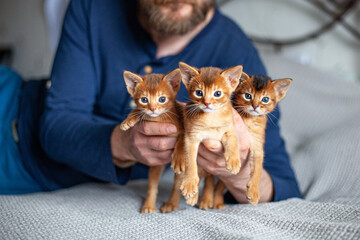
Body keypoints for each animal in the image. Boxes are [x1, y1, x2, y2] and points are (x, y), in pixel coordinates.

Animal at [117, 68, 184, 213]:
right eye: (144, 99)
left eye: (162, 99)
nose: (152, 109)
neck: (158, 118)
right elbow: (139, 111)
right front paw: (128, 120)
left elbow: (183, 140)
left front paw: (179, 156)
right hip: (156, 164)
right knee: (152, 186)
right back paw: (149, 205)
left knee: (178, 184)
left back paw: (171, 204)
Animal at [176, 62, 243, 206]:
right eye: (199, 92)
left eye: (217, 93)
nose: (207, 103)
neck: (211, 117)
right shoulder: (191, 137)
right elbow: (190, 162)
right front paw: (189, 183)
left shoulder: (229, 129)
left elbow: (233, 141)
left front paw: (234, 161)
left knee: (211, 180)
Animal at [231, 73, 292, 204]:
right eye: (248, 96)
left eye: (265, 99)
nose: (255, 106)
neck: (250, 119)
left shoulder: (258, 146)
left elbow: (258, 168)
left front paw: (253, 191)